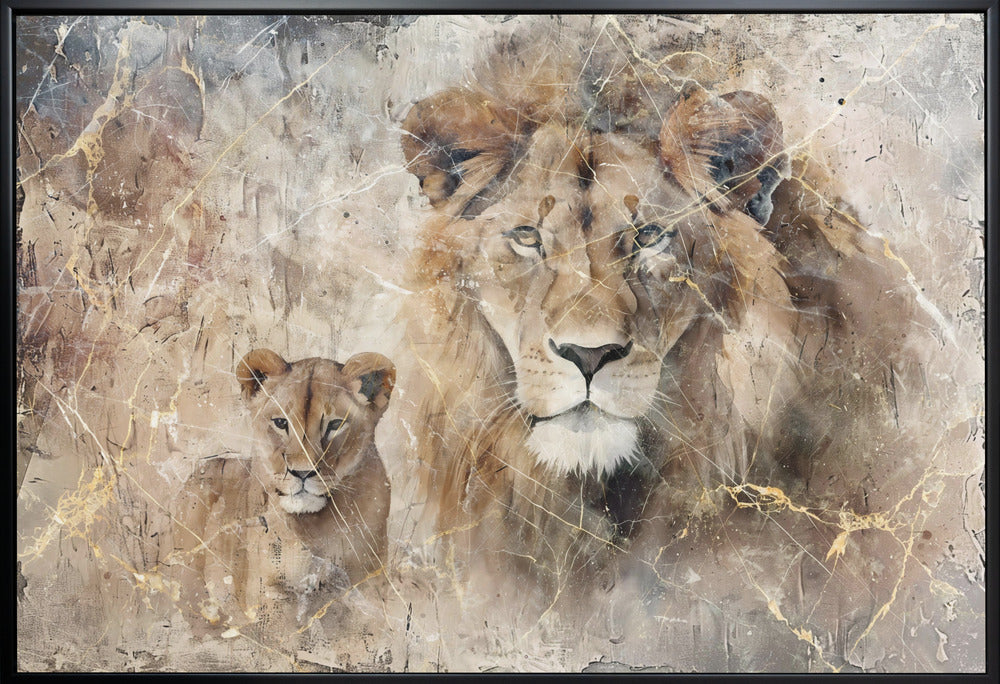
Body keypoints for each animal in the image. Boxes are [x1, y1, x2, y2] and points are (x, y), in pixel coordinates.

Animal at [171, 349, 394, 633]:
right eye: (280, 422)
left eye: (335, 425)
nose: (302, 473)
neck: (316, 528)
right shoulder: (268, 593)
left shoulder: (366, 587)